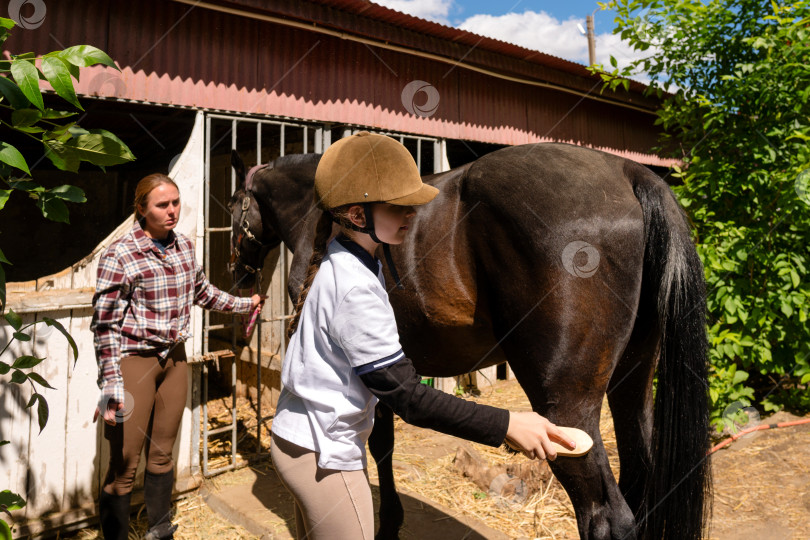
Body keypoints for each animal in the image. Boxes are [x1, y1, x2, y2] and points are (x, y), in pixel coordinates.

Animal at [226, 143, 708, 540]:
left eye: (233, 207)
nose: (237, 273)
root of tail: (629, 171)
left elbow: (378, 445)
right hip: (632, 383)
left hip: (568, 412)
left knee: (608, 518)